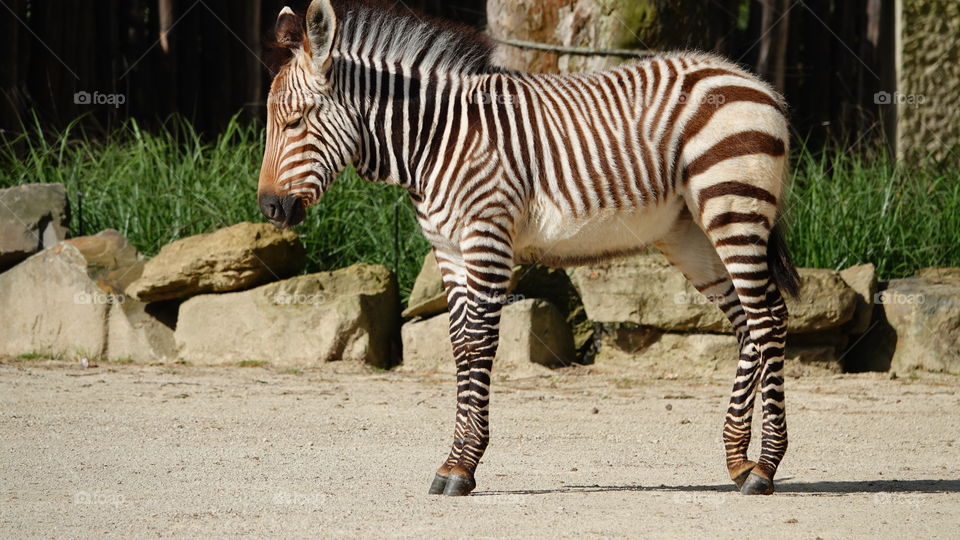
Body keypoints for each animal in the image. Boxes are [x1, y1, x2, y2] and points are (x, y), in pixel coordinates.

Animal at [257, 0, 800, 497]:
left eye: (296, 122)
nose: (269, 208)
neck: (436, 141)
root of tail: (754, 83)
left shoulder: (487, 239)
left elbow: (479, 343)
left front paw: (461, 468)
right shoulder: (449, 252)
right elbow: (459, 345)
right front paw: (454, 461)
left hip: (732, 208)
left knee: (768, 317)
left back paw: (764, 470)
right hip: (690, 233)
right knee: (748, 322)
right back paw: (738, 461)